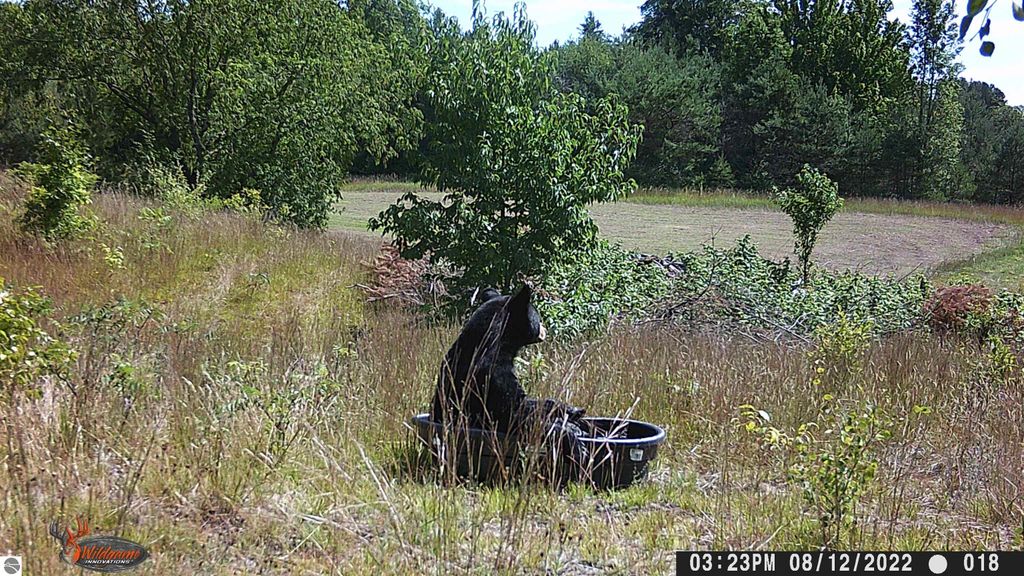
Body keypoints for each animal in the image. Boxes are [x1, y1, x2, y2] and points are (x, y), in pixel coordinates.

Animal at [430, 285, 589, 469]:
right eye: (538, 317)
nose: (544, 329)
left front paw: (572, 410)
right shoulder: (492, 374)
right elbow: (514, 412)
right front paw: (574, 441)